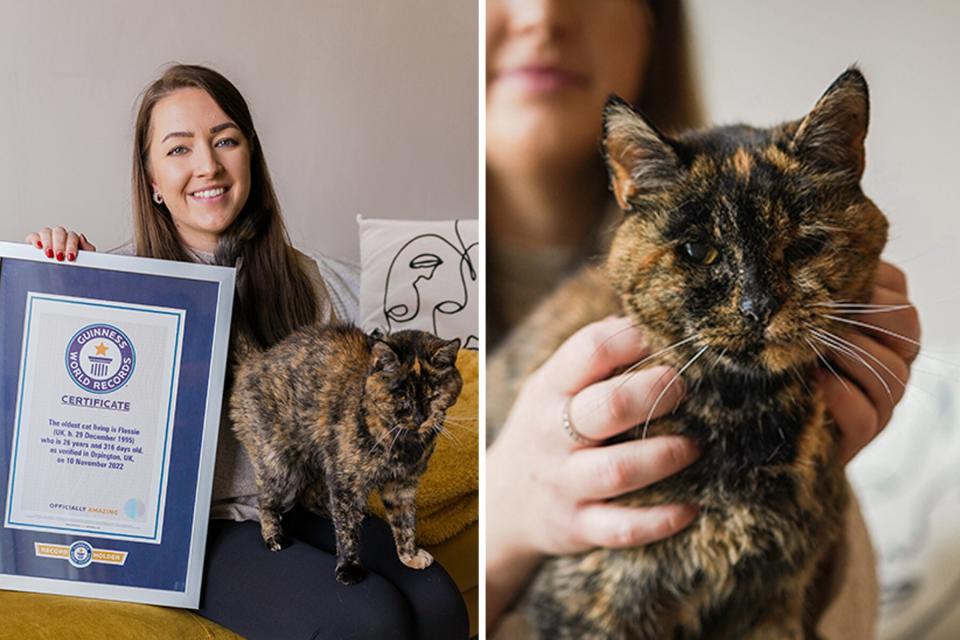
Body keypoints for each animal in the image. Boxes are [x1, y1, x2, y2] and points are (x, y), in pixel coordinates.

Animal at [231, 324, 460, 584]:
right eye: (401, 396)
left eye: (433, 395)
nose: (421, 418)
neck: (402, 444)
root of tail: (256, 359)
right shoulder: (345, 480)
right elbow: (347, 531)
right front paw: (349, 568)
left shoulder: (402, 484)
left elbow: (405, 521)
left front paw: (409, 555)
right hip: (279, 464)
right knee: (266, 501)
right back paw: (274, 537)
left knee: (313, 497)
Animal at [492, 67, 888, 636]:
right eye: (699, 250)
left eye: (803, 246)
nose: (757, 306)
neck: (745, 416)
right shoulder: (591, 597)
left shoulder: (775, 600)